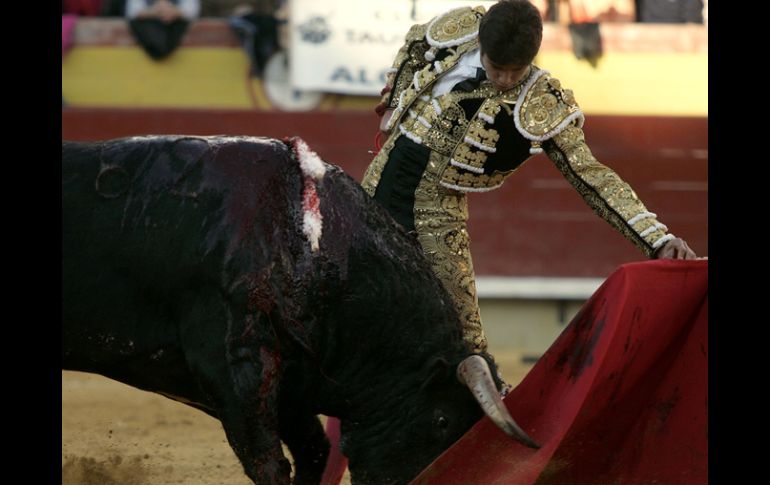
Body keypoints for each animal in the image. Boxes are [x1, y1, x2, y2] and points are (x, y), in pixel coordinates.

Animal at [61, 135, 536, 484]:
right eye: (441, 420)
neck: (309, 245)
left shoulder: (293, 380)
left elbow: (315, 453)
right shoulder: (236, 366)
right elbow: (269, 461)